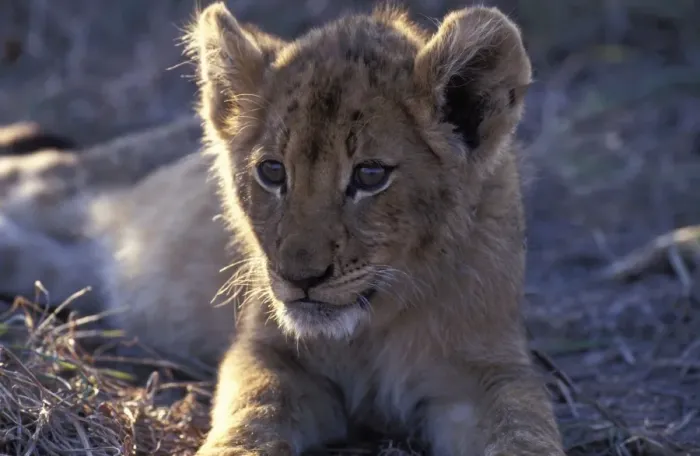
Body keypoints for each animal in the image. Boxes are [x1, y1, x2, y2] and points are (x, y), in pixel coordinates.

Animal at [0, 2, 566, 455]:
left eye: (370, 175)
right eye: (273, 172)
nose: (301, 277)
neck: (375, 323)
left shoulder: (488, 369)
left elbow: (523, 427)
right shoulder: (269, 350)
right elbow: (254, 410)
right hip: (69, 188)